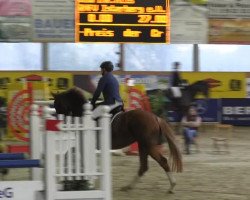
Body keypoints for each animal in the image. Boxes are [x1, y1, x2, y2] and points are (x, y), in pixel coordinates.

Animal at [52, 86, 182, 193]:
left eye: (58, 105)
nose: (58, 125)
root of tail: (155, 117)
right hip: (143, 146)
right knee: (144, 166)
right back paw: (128, 187)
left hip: (148, 146)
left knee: (162, 161)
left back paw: (172, 186)